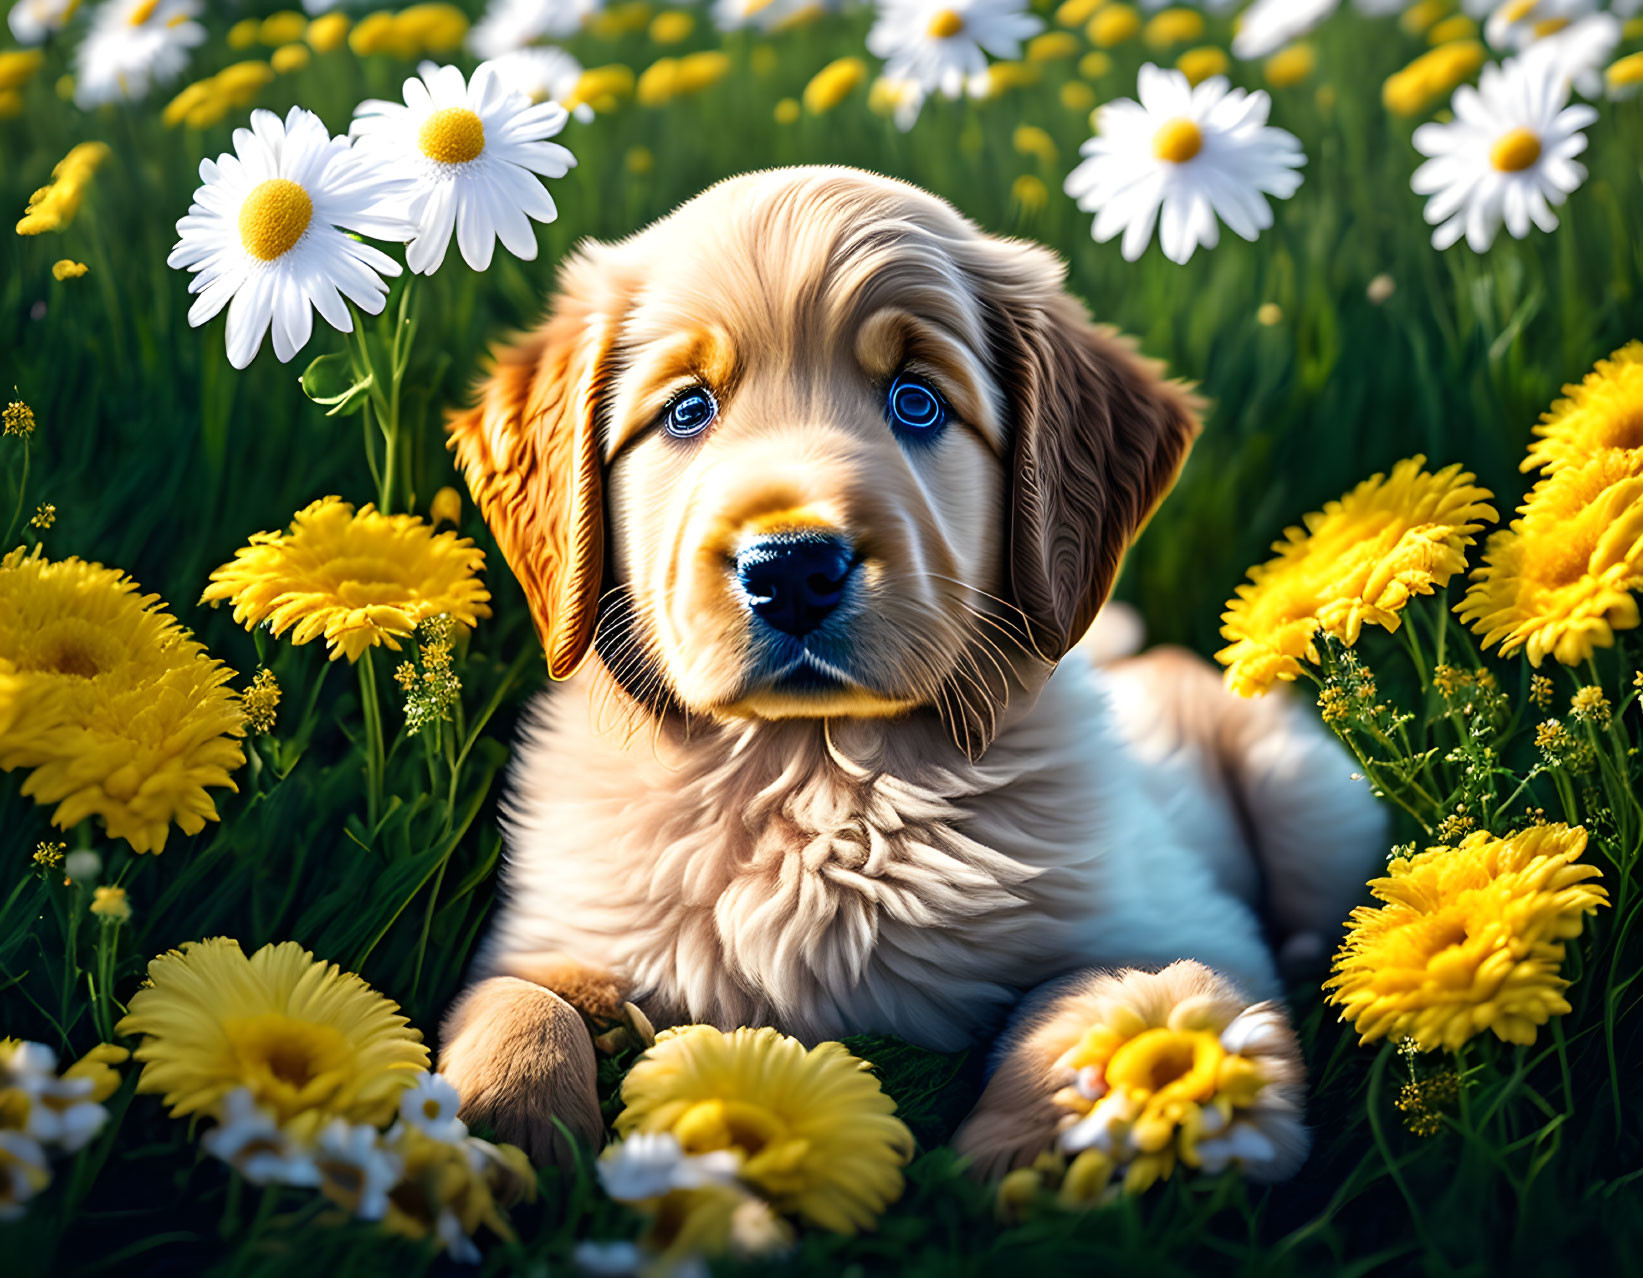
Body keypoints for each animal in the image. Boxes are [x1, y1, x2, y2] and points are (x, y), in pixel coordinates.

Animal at [440, 166, 1386, 1176]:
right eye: (687, 410)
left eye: (916, 402)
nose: (791, 570)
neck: (815, 782)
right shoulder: (562, 932)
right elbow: (519, 998)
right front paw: (497, 1130)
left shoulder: (1190, 930)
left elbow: (1108, 999)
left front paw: (1034, 1152)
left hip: (1310, 798)